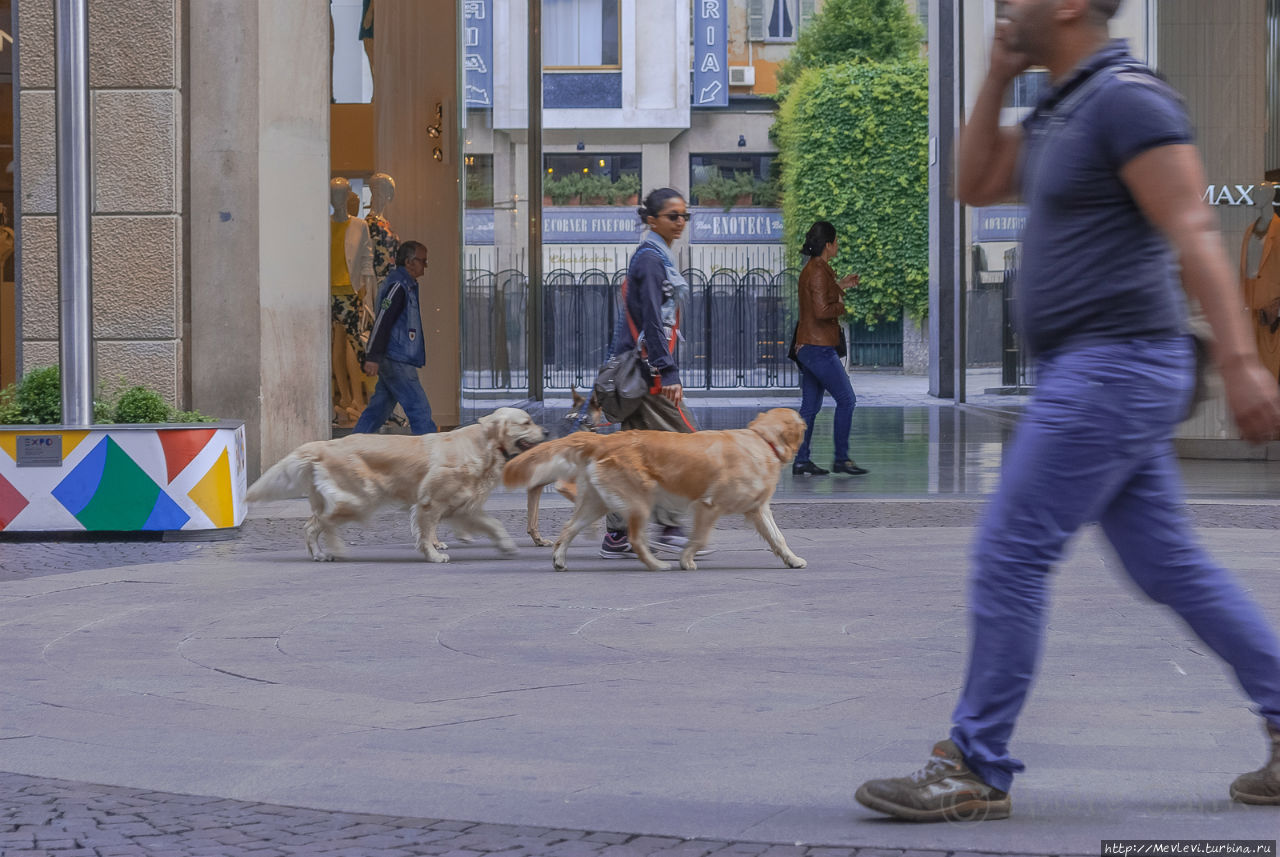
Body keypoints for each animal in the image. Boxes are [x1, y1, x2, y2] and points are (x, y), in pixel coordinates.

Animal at [249, 409, 545, 562]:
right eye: (526, 422)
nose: (548, 431)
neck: (482, 446)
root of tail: (324, 444)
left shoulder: (464, 506)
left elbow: (494, 524)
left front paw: (506, 546)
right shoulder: (429, 503)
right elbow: (425, 533)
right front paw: (433, 555)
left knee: (317, 523)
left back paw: (325, 552)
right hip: (361, 498)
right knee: (318, 524)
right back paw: (328, 551)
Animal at [501, 406, 808, 570]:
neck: (762, 440)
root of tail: (604, 440)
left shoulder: (758, 509)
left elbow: (778, 537)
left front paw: (793, 560)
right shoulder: (708, 505)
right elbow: (700, 538)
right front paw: (686, 559)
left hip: (595, 503)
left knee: (568, 529)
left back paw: (560, 561)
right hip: (639, 500)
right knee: (636, 538)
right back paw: (657, 564)